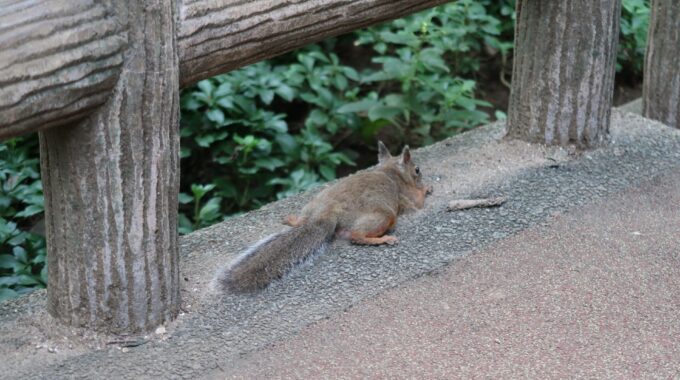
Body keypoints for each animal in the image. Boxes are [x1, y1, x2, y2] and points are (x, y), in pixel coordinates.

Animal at [215, 141, 432, 292]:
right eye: (417, 169)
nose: (421, 175)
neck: (389, 171)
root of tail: (325, 215)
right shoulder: (407, 198)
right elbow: (418, 203)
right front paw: (427, 188)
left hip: (312, 204)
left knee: (304, 220)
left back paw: (293, 220)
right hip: (384, 216)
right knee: (356, 236)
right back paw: (383, 239)